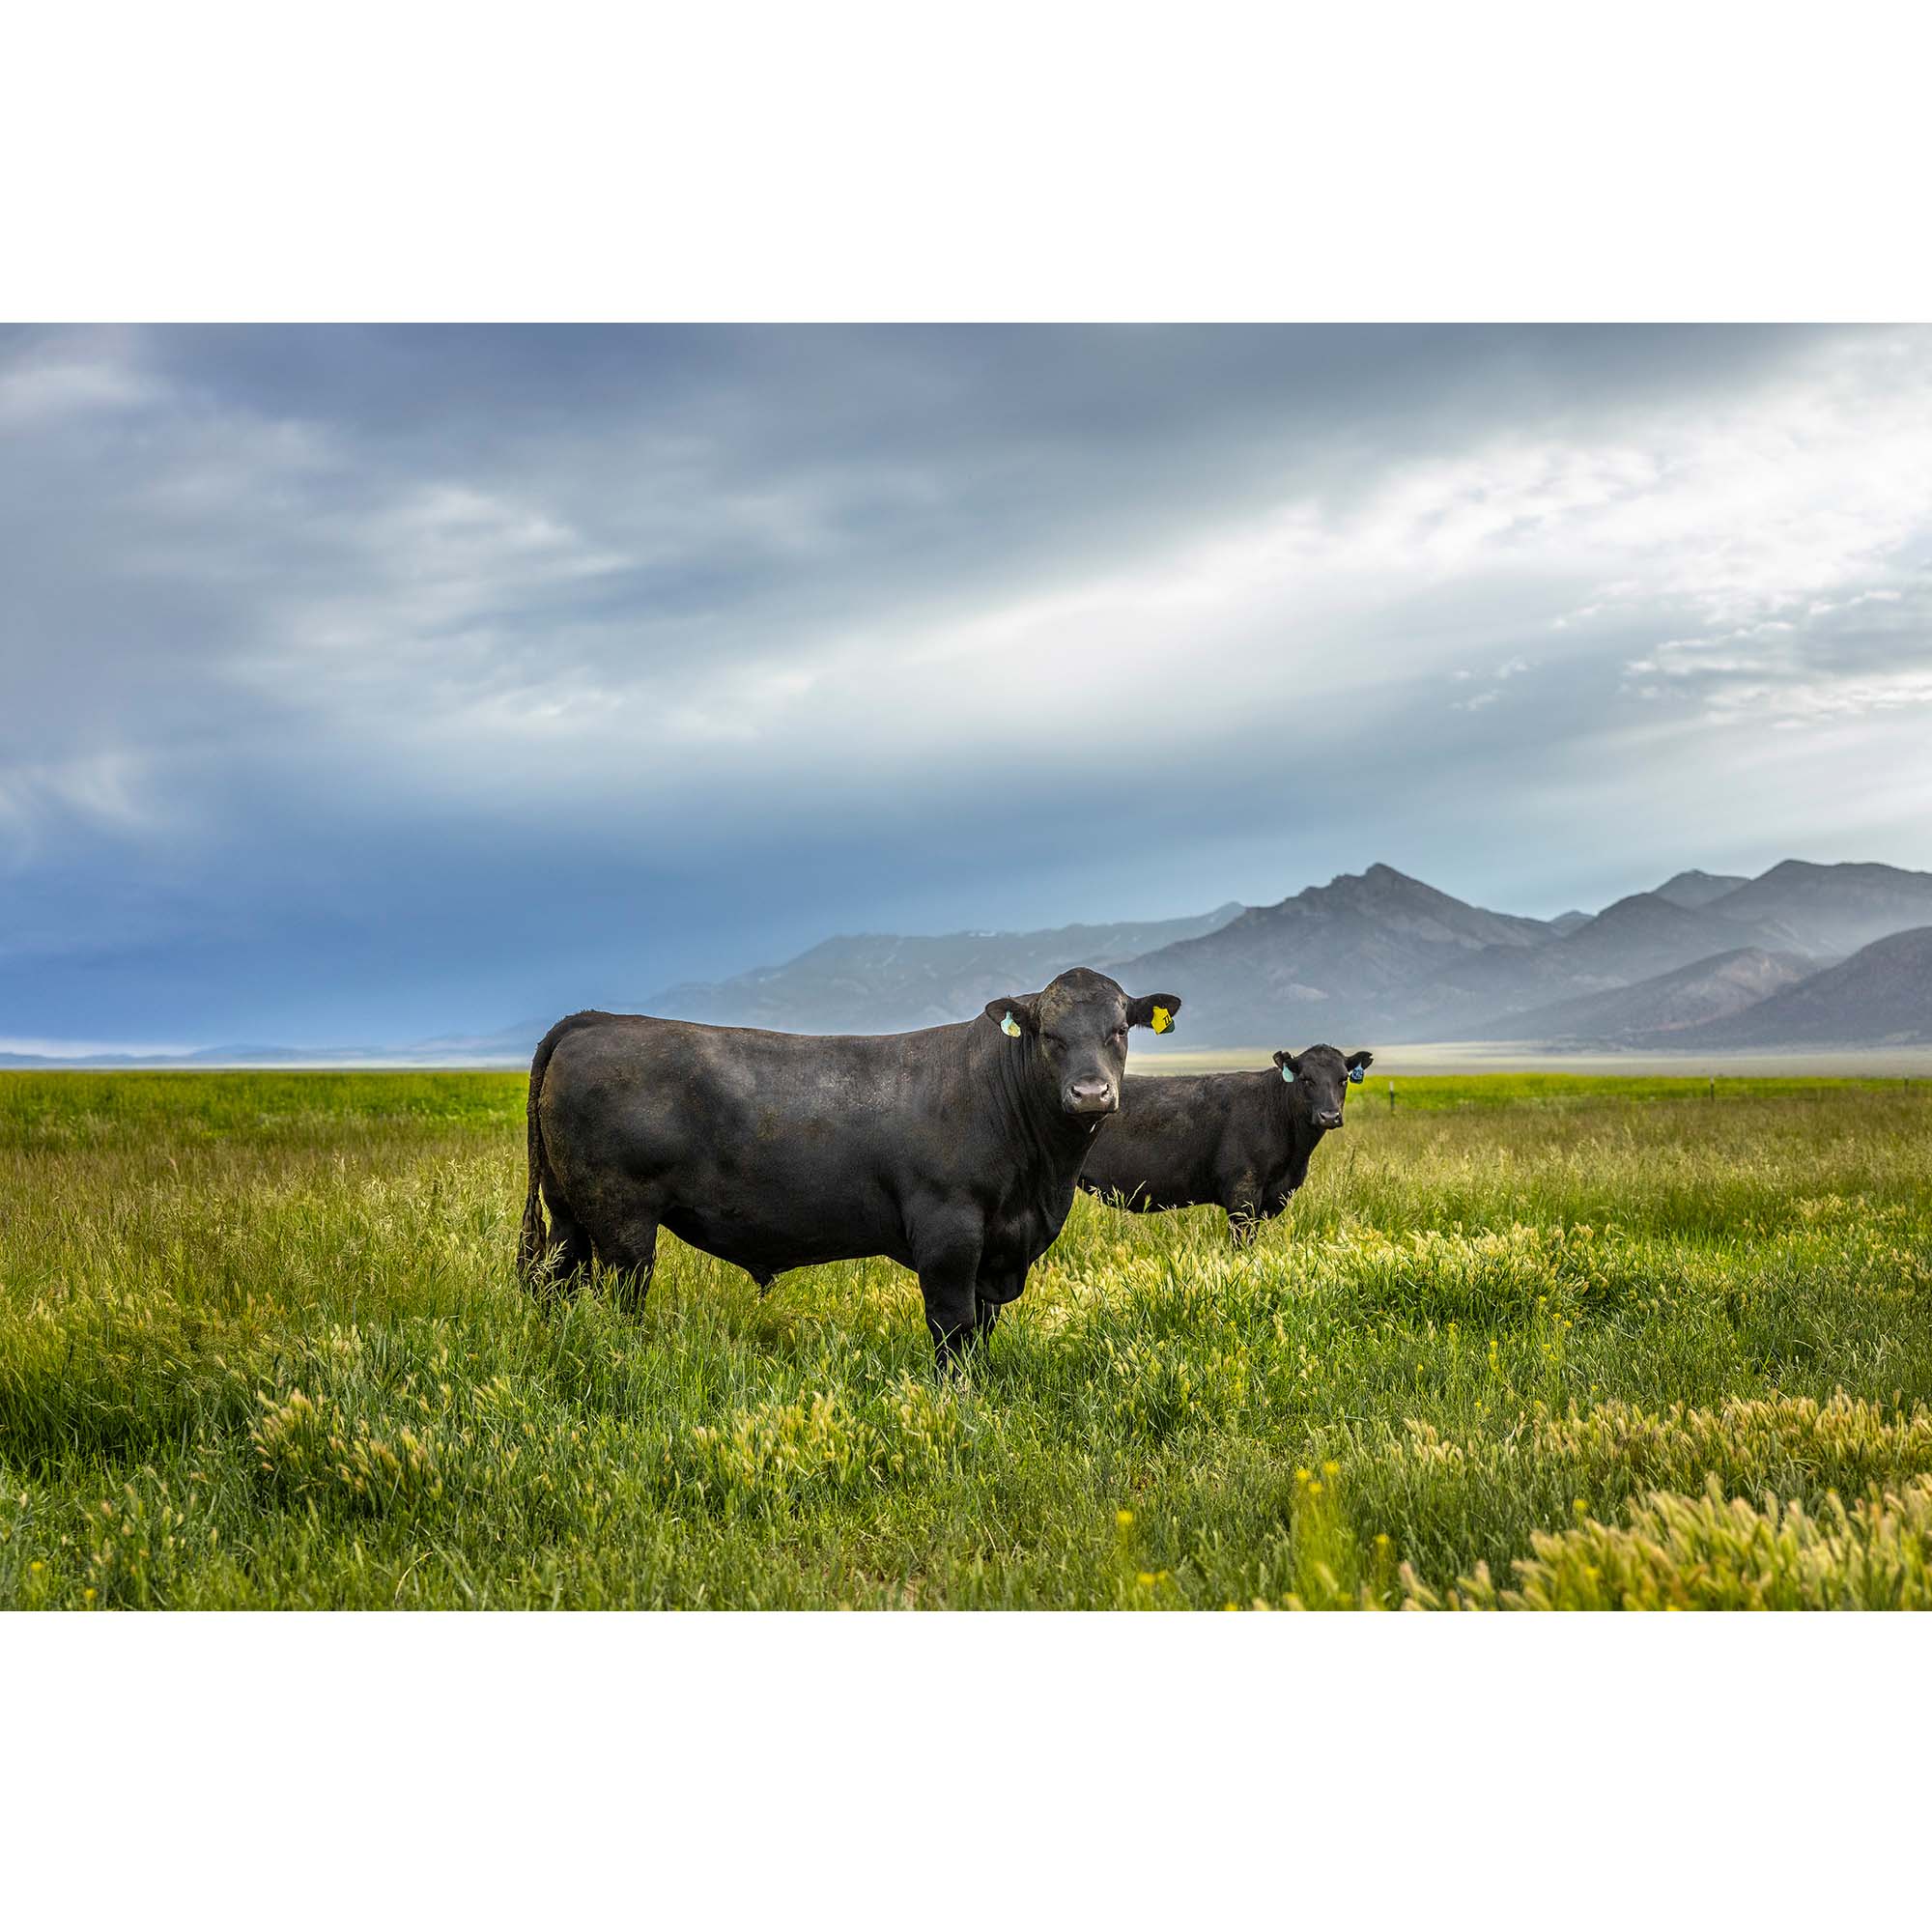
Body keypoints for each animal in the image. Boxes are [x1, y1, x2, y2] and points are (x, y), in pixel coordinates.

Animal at [518, 967, 1182, 1366]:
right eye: (1048, 1034)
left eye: (1119, 1030)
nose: (1091, 1093)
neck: (1040, 1185)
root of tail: (595, 1020)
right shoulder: (949, 1232)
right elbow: (953, 1324)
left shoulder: (998, 1244)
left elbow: (983, 1327)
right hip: (621, 1219)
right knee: (619, 1295)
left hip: (569, 1210)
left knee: (556, 1280)